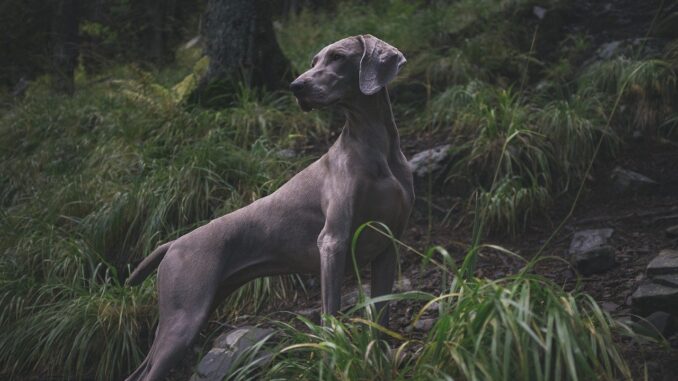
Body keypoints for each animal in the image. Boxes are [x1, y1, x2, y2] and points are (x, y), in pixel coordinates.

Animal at [125, 34, 418, 378]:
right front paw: (333, 361)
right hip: (183, 318)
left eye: (337, 57)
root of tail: (171, 243)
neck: (375, 145)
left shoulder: (387, 245)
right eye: (313, 61)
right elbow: (330, 315)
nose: (296, 86)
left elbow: (381, 317)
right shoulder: (333, 242)